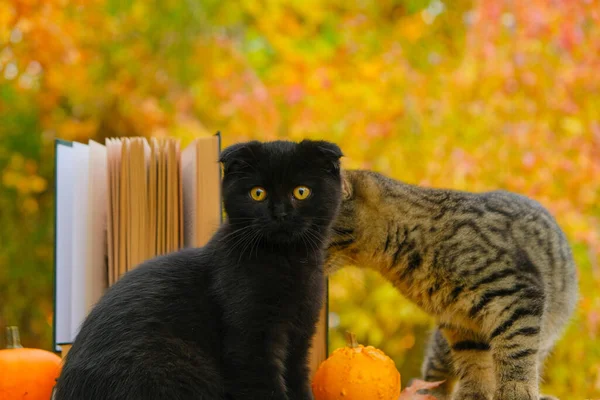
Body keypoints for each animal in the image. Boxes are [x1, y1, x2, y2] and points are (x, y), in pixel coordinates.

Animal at [54, 138, 344, 400]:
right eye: (258, 193)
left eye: (301, 191)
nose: (280, 214)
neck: (287, 261)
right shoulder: (249, 341)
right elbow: (265, 387)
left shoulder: (300, 335)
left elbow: (297, 381)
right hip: (175, 362)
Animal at [326, 169, 580, 400]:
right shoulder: (461, 322)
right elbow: (475, 364)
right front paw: (473, 394)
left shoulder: (514, 294)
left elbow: (515, 350)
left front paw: (514, 391)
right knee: (432, 376)